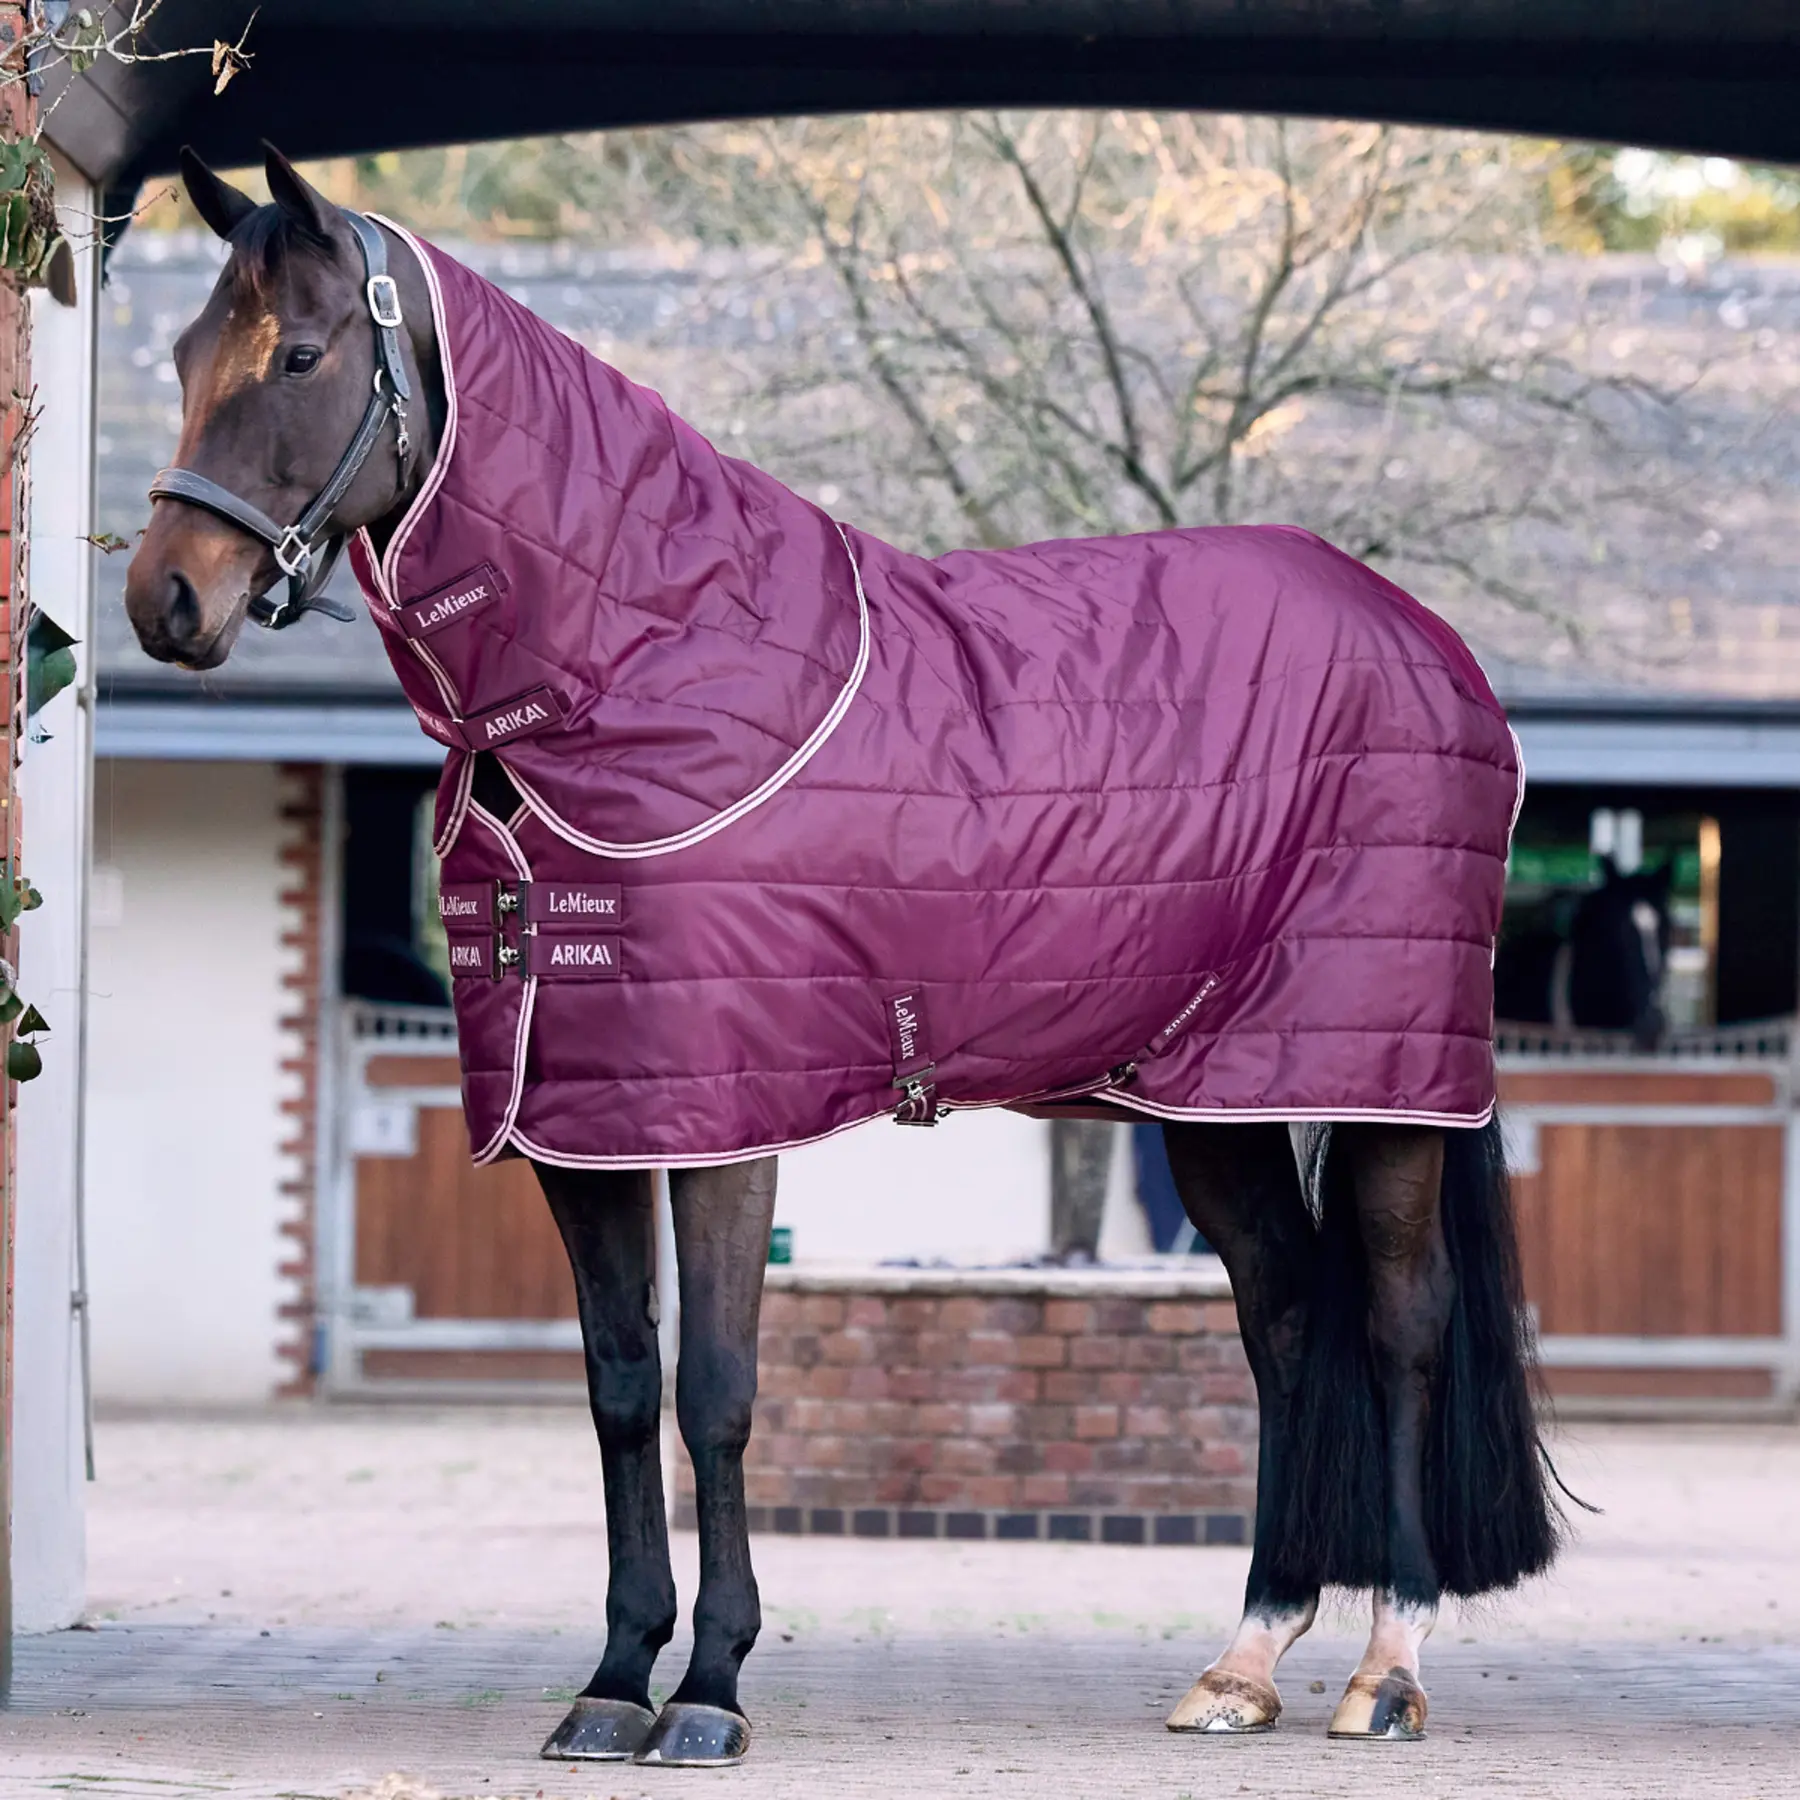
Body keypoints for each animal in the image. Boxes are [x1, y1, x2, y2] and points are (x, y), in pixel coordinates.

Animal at [121, 145, 1560, 1766]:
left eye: (300, 355)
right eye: (183, 357)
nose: (165, 599)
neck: (639, 664)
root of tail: (1428, 645)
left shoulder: (727, 1115)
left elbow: (719, 1392)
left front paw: (712, 1690)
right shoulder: (585, 1120)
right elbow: (622, 1389)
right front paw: (614, 1679)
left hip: (1382, 1084)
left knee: (1400, 1326)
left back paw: (1387, 1670)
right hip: (1215, 1103)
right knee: (1287, 1323)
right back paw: (1246, 1659)